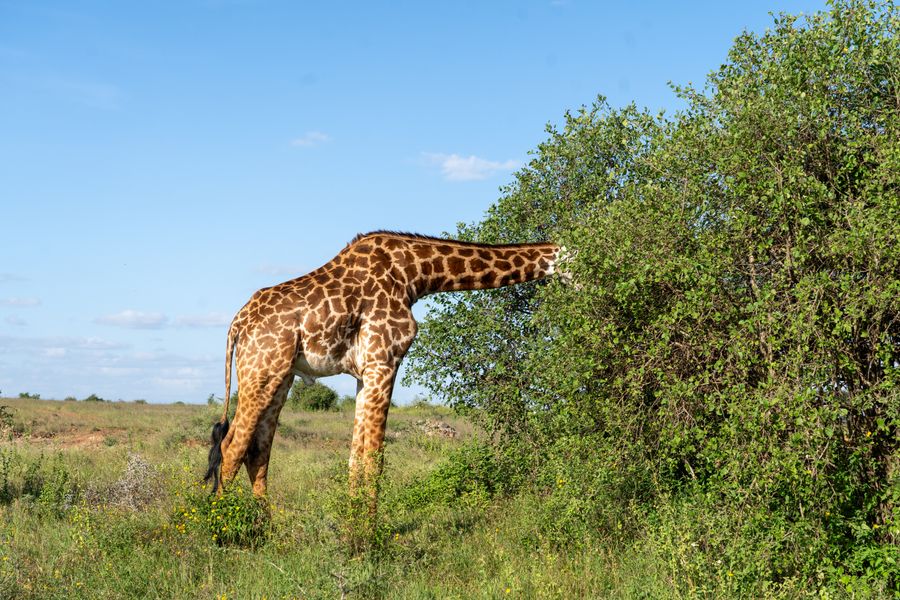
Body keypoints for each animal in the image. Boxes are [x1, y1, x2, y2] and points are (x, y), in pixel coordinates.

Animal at [205, 231, 564, 508]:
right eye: (570, 256)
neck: (415, 275)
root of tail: (237, 324)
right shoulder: (385, 360)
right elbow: (374, 460)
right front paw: (367, 543)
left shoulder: (365, 373)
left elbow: (355, 459)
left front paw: (352, 533)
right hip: (262, 370)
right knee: (231, 448)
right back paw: (224, 531)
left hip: (281, 377)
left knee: (257, 451)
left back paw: (267, 531)